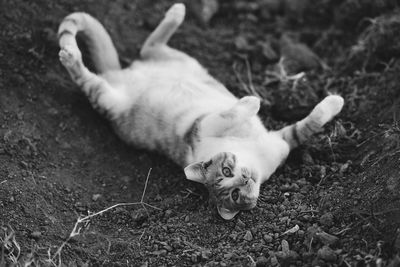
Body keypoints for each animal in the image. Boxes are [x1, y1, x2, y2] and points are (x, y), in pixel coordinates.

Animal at [57, 3, 344, 221]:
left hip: (185, 62)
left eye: (229, 175)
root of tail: (117, 75)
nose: (244, 178)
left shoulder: (282, 141)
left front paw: (335, 103)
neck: (254, 154)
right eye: (233, 191)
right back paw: (70, 57)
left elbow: (307, 125)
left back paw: (176, 12)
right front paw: (251, 103)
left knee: (150, 46)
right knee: (90, 76)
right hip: (105, 98)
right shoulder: (199, 128)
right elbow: (226, 115)